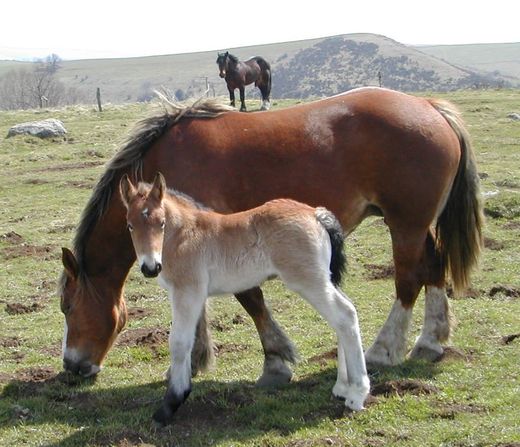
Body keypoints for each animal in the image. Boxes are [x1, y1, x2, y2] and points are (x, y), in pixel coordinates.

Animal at [58, 88, 484, 388]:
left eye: (67, 307)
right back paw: (430, 341)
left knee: (409, 279)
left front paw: (275, 361)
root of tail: (429, 106)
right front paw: (193, 361)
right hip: (416, 224)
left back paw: (384, 349)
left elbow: (251, 300)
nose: (72, 366)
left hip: (405, 224)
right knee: (434, 267)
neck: (164, 165)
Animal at [120, 172, 370, 428]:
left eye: (161, 223)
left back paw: (356, 395)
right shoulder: (190, 294)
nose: (151, 267)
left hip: (309, 281)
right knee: (343, 315)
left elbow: (179, 343)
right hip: (323, 280)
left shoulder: (187, 290)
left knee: (345, 315)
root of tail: (316, 214)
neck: (184, 235)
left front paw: (170, 405)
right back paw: (342, 387)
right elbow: (193, 337)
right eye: (130, 226)